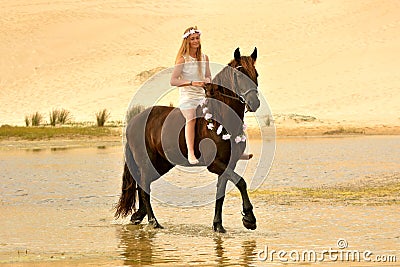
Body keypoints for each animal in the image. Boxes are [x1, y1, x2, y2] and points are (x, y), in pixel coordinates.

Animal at [114, 47, 260, 233]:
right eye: (239, 74)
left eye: (256, 74)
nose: (254, 102)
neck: (220, 117)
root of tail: (134, 121)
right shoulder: (215, 164)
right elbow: (241, 182)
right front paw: (249, 218)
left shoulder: (228, 163)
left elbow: (221, 192)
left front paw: (218, 225)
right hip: (147, 161)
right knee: (144, 186)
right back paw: (154, 222)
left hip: (162, 164)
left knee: (144, 185)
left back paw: (138, 216)